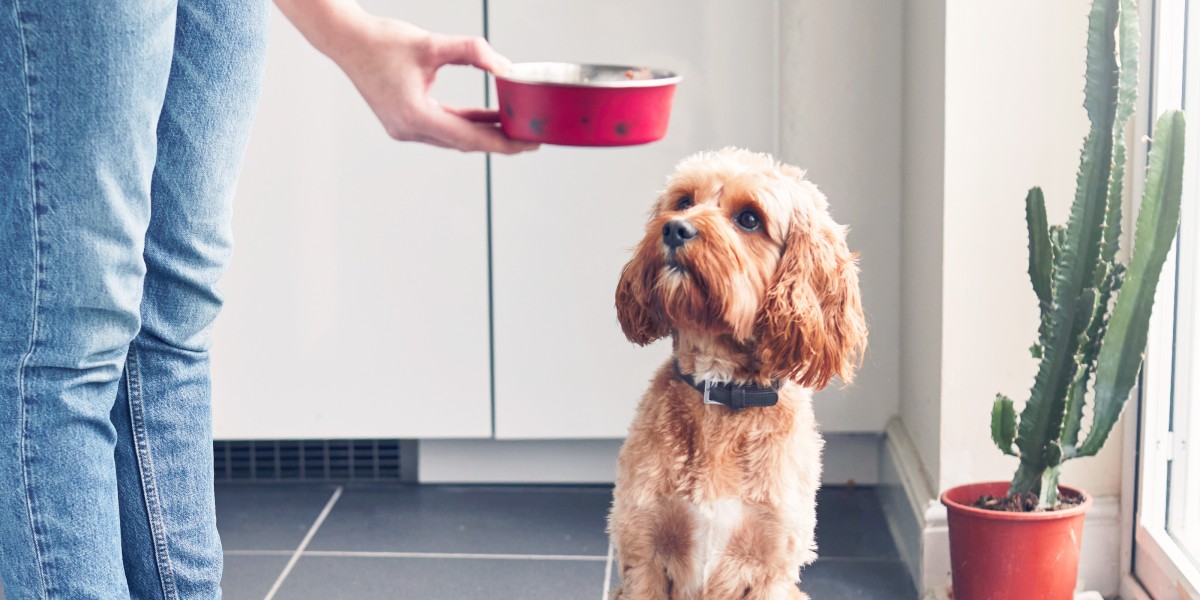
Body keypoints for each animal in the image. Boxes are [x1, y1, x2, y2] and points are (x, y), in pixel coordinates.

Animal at [609, 146, 864, 600]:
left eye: (749, 218)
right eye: (683, 202)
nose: (674, 229)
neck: (721, 386)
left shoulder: (771, 568)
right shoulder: (644, 553)